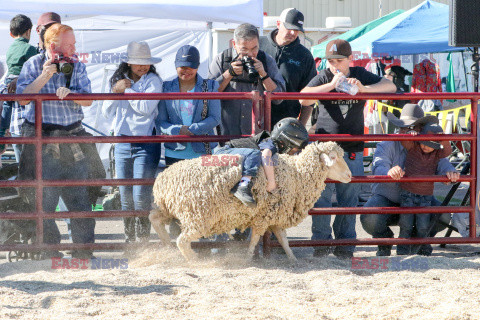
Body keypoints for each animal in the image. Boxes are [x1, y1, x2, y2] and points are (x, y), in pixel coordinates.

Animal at [150, 141, 352, 262]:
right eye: (334, 157)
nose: (350, 175)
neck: (297, 174)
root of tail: (163, 180)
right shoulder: (263, 216)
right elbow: (255, 239)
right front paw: (248, 257)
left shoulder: (275, 215)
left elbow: (283, 240)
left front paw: (293, 259)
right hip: (198, 217)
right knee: (182, 241)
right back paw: (194, 259)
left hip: (168, 208)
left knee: (155, 219)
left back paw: (167, 245)